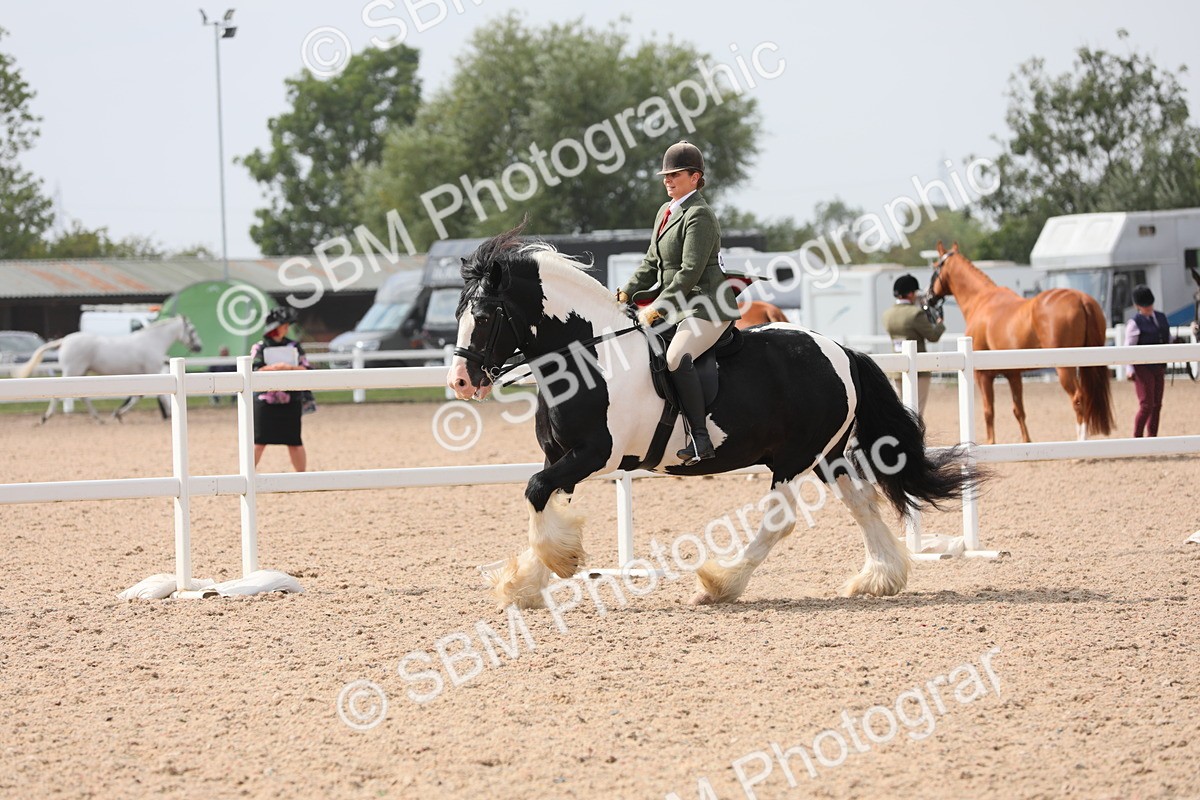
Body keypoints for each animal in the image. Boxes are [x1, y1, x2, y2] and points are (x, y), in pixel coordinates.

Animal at [15, 316, 203, 423]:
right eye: (192, 330)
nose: (199, 347)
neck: (152, 341)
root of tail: (64, 340)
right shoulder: (153, 370)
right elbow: (158, 396)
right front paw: (169, 414)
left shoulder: (146, 375)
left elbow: (138, 397)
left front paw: (118, 414)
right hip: (72, 371)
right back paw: (45, 417)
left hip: (81, 372)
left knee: (83, 397)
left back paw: (98, 418)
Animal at [448, 227, 981, 609]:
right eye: (459, 312)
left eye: (486, 314)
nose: (459, 381)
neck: (588, 359)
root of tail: (841, 351)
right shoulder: (561, 455)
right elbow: (541, 500)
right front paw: (524, 584)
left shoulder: (594, 454)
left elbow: (536, 491)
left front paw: (559, 564)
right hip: (827, 456)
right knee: (863, 502)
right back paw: (879, 579)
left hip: (793, 458)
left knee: (779, 522)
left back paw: (720, 585)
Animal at [926, 242, 1113, 444]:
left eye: (935, 266)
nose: (928, 298)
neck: (982, 300)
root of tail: (1081, 299)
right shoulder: (1013, 374)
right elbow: (1019, 411)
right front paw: (1027, 442)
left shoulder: (983, 375)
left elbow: (988, 411)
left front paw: (991, 443)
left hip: (1065, 368)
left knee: (1079, 398)